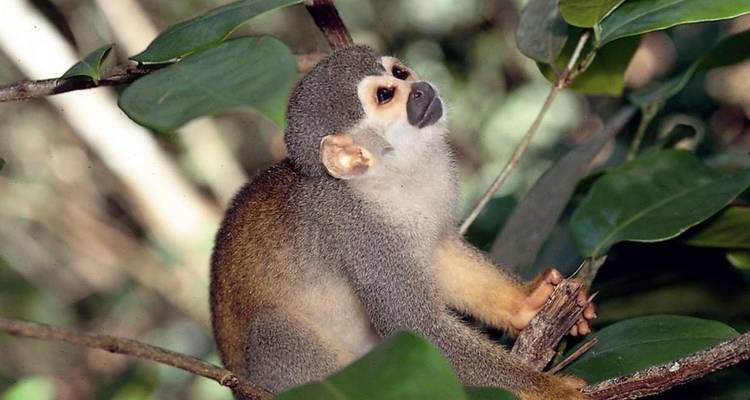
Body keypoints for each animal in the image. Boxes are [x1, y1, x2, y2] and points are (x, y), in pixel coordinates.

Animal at [210, 45, 596, 400]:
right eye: (385, 95)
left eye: (399, 72)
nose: (420, 88)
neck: (389, 176)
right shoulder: (361, 232)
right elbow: (416, 327)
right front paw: (547, 388)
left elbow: (440, 253)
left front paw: (527, 303)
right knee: (270, 332)